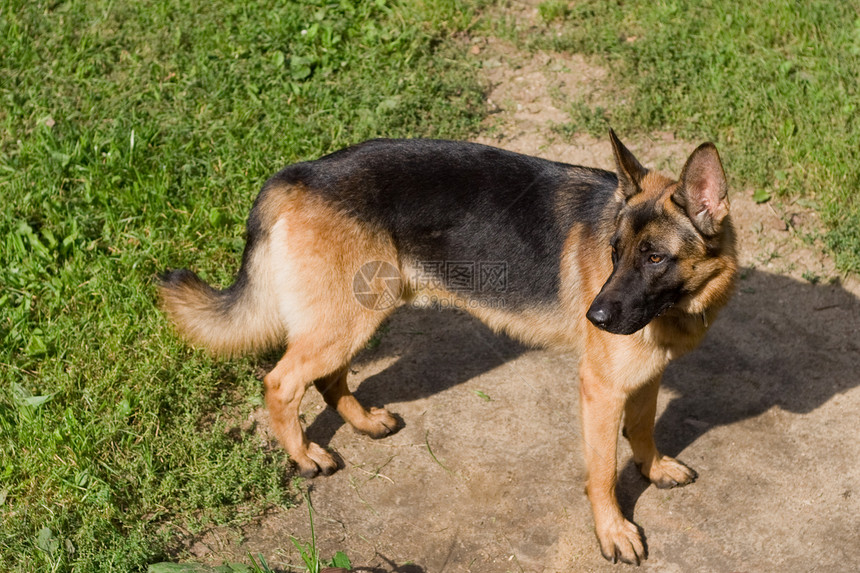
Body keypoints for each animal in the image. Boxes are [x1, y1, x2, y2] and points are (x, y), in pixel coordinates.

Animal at [161, 133, 740, 564]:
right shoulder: (601, 389)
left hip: (356, 315)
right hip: (347, 320)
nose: (593, 318)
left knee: (327, 377)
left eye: (654, 257)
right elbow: (601, 472)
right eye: (615, 253)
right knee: (282, 382)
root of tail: (296, 173)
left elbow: (642, 429)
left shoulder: (644, 376)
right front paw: (613, 531)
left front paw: (654, 468)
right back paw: (304, 456)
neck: (682, 302)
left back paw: (363, 422)